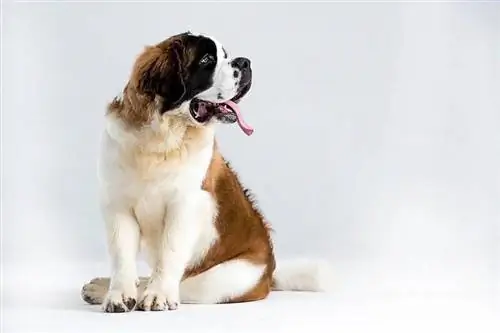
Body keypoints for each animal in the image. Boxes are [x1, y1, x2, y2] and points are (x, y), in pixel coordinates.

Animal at [81, 31, 332, 312]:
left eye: (226, 55)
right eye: (208, 60)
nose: (245, 62)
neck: (161, 139)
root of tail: (271, 272)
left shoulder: (186, 204)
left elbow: (169, 253)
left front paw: (158, 295)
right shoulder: (117, 205)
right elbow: (122, 257)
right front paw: (117, 295)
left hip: (223, 279)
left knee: (186, 284)